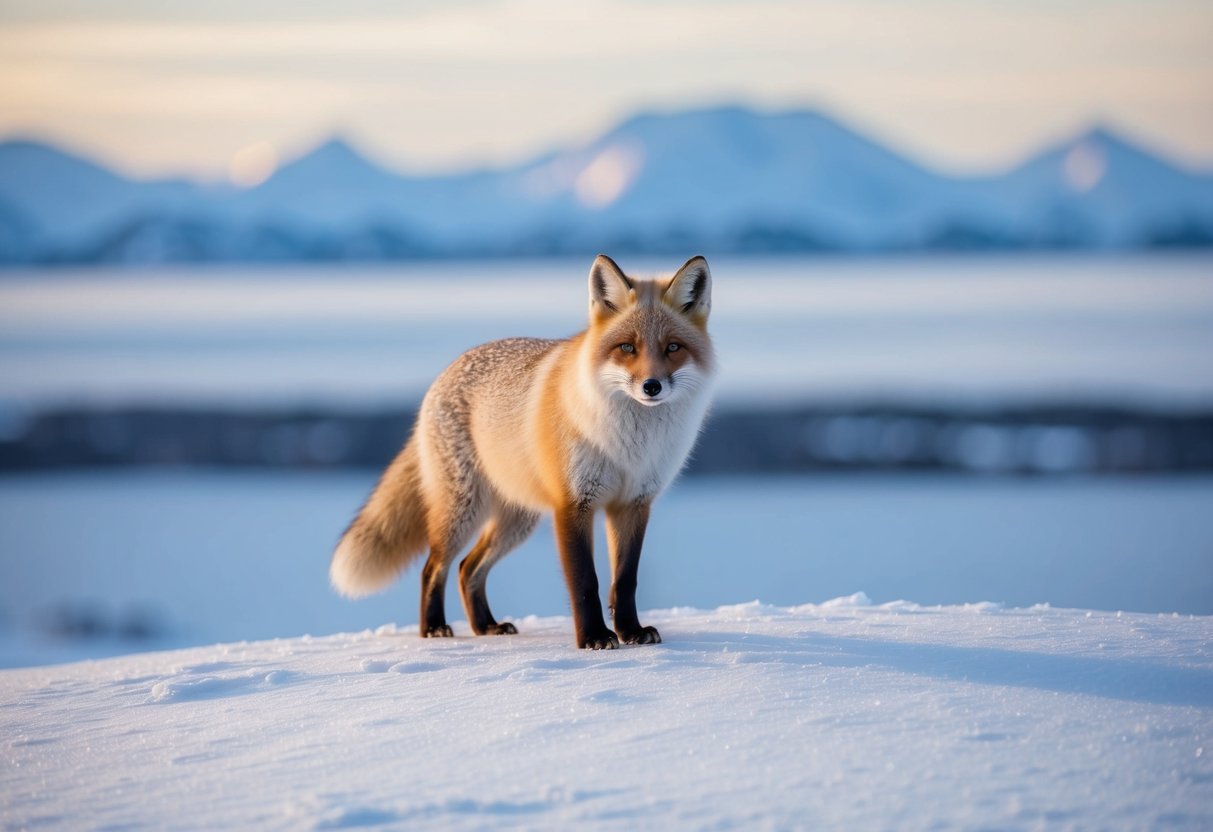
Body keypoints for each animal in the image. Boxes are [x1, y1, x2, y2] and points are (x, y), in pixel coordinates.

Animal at [330, 254, 716, 649]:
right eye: (627, 347)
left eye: (672, 348)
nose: (651, 386)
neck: (629, 445)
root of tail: (446, 371)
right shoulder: (572, 504)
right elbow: (585, 582)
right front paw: (593, 637)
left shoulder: (634, 504)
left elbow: (624, 580)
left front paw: (630, 631)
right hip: (463, 511)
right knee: (433, 566)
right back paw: (434, 628)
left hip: (517, 520)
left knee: (468, 567)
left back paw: (486, 626)